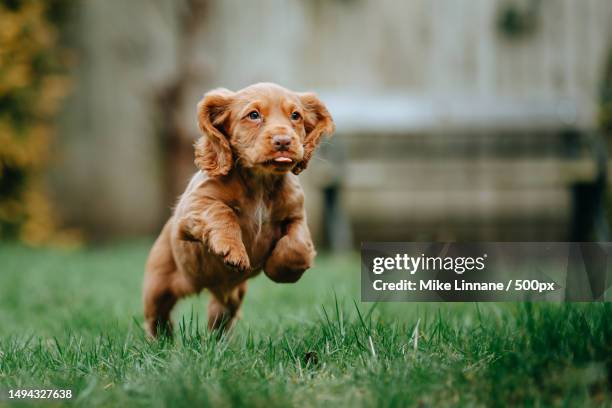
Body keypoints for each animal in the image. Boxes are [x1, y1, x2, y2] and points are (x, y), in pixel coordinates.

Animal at [143, 81, 334, 336]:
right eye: (253, 115)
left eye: (296, 116)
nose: (284, 141)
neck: (261, 182)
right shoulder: (194, 205)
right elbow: (222, 212)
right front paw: (232, 251)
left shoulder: (296, 216)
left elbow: (297, 245)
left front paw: (280, 270)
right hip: (157, 286)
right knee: (157, 317)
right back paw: (162, 340)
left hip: (230, 298)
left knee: (220, 317)